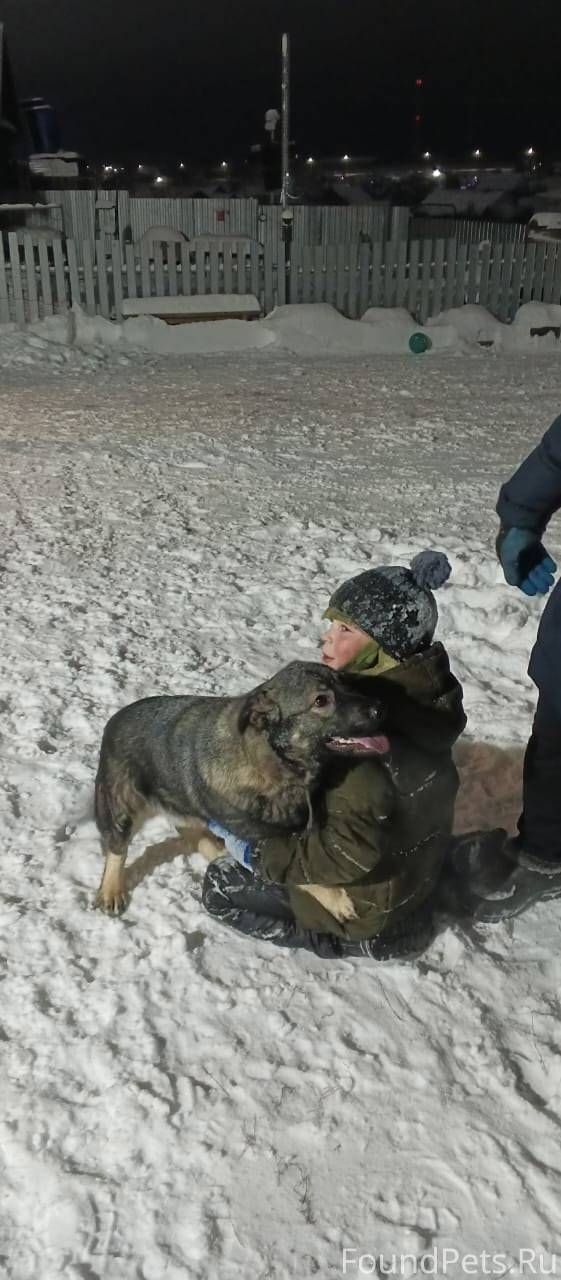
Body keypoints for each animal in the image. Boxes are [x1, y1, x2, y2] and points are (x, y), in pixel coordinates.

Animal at [94, 661, 388, 917]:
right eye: (321, 701)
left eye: (345, 683)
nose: (379, 709)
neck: (273, 759)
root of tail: (113, 719)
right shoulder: (266, 843)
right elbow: (300, 873)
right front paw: (334, 898)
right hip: (122, 807)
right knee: (117, 848)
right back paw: (111, 888)